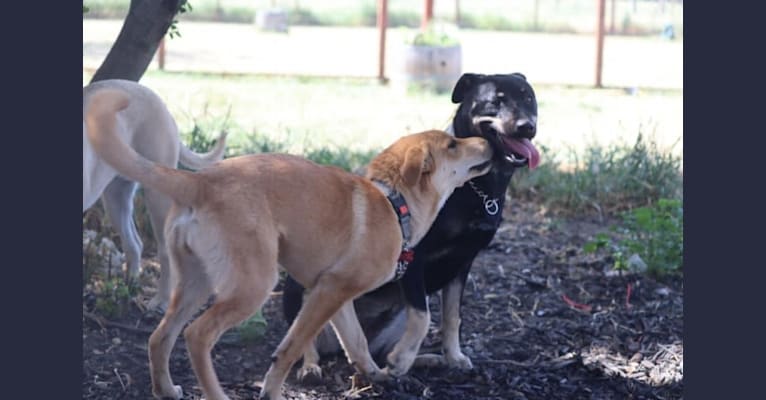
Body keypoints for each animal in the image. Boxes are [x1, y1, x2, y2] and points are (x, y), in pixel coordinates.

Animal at [85, 78, 228, 310]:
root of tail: (158, 100)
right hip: (116, 199)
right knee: (134, 245)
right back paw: (128, 289)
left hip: (157, 198)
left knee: (164, 251)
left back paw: (160, 300)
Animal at [282, 71, 540, 378]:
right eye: (495, 101)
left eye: (529, 98)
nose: (527, 127)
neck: (479, 191)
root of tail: (333, 348)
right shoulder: (415, 257)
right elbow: (423, 315)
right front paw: (403, 357)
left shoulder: (464, 261)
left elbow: (452, 317)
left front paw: (453, 356)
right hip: (301, 287)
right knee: (305, 338)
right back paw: (312, 366)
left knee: (376, 350)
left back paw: (422, 360)